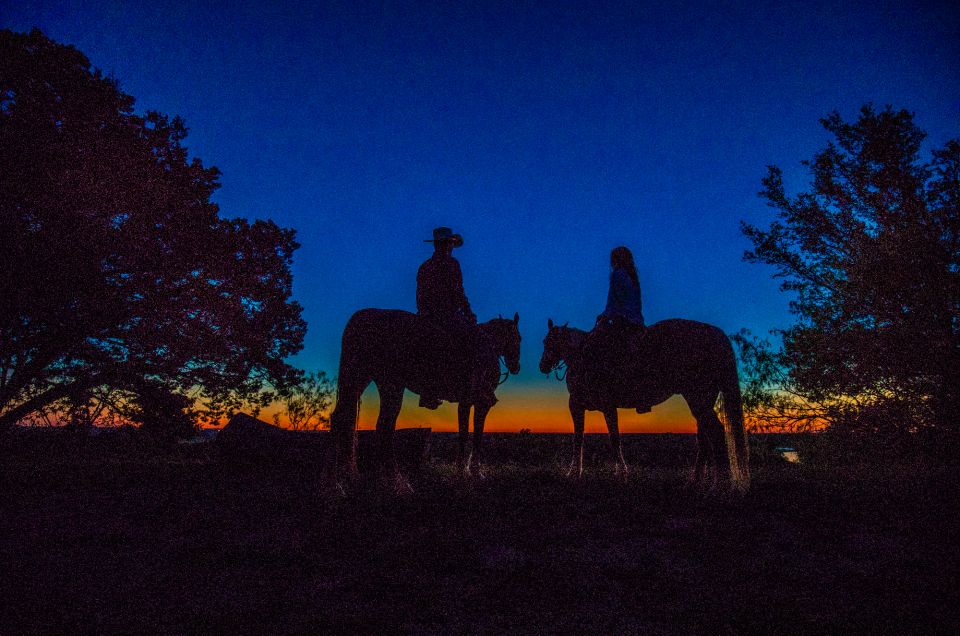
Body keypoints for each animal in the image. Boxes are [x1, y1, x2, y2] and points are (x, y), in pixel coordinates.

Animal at [328, 310, 520, 482]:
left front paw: (465, 471)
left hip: (359, 378)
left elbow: (467, 433)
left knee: (341, 418)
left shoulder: (467, 403)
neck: (489, 345)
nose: (516, 367)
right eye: (518, 339)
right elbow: (472, 435)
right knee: (384, 425)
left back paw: (338, 481)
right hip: (389, 383)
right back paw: (394, 481)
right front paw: (470, 472)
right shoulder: (477, 402)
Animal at [540, 318, 752, 492]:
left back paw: (719, 486)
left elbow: (593, 440)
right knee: (704, 439)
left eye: (550, 342)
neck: (582, 355)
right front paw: (616, 473)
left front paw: (579, 474)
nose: (542, 366)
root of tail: (715, 334)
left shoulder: (585, 405)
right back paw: (695, 482)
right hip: (701, 401)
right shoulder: (600, 407)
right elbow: (603, 438)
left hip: (698, 399)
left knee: (715, 433)